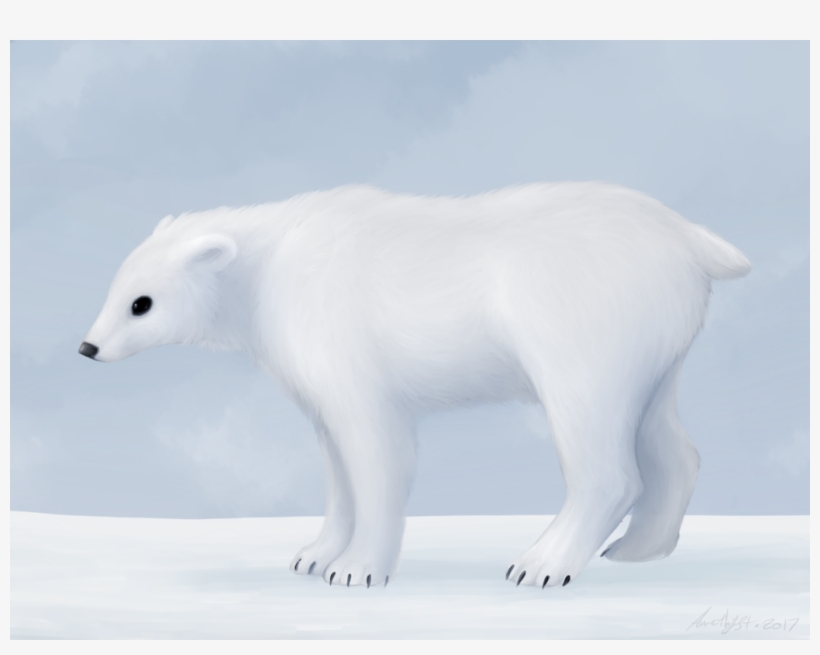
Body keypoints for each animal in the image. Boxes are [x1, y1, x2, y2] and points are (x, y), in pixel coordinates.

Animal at [80, 182, 750, 589]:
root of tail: (690, 239)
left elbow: (376, 450)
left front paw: (355, 570)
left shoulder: (343, 341)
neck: (270, 270)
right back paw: (639, 548)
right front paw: (312, 554)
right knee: (666, 435)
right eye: (116, 286)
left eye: (142, 303)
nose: (88, 347)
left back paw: (539, 563)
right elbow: (337, 465)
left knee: (600, 446)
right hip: (657, 339)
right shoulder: (310, 373)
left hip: (585, 324)